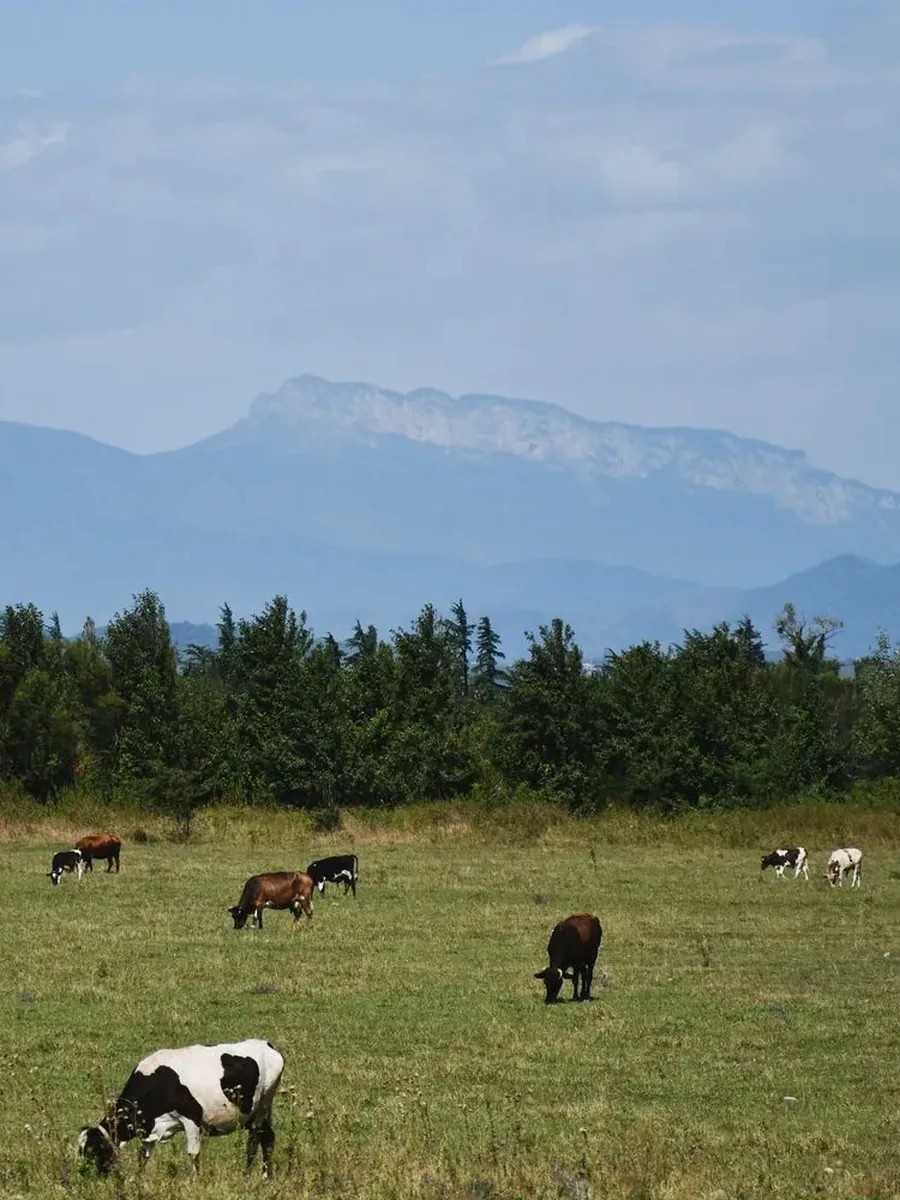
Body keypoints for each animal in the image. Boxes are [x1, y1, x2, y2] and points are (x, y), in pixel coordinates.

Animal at [77, 1039, 284, 1177]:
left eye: (92, 1150)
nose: (87, 1175)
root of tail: (266, 1044)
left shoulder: (191, 1117)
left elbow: (193, 1152)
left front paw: (197, 1180)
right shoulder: (150, 1127)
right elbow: (143, 1155)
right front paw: (139, 1179)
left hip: (264, 1102)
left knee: (259, 1139)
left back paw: (259, 1176)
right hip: (256, 1111)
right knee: (263, 1138)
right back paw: (254, 1175)